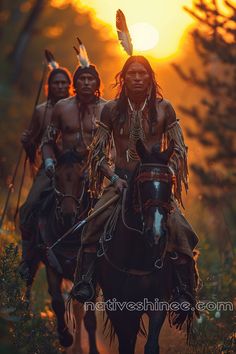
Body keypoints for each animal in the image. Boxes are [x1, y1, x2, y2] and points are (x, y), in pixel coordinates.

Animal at [34, 150, 98, 354]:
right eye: (56, 177)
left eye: (82, 178)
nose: (68, 215)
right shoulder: (52, 265)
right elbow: (57, 303)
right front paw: (65, 338)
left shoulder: (91, 276)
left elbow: (89, 316)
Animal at [96, 140, 190, 352]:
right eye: (141, 184)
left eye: (170, 183)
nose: (156, 233)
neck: (137, 256)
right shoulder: (118, 307)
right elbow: (126, 344)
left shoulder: (158, 302)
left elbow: (151, 344)